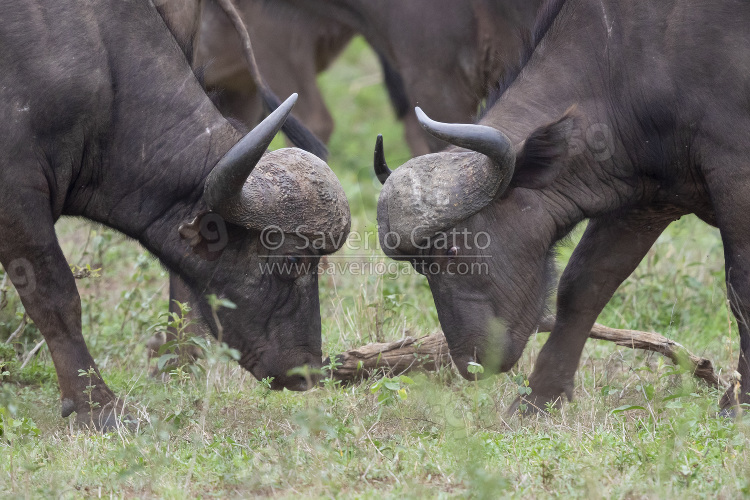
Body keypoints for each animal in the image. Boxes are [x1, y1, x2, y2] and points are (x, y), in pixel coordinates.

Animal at [378, 0, 750, 414]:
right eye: (418, 265)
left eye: (453, 249)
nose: (472, 364)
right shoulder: (649, 199)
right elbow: (584, 283)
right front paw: (539, 398)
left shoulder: (737, 177)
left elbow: (742, 289)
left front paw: (738, 400)